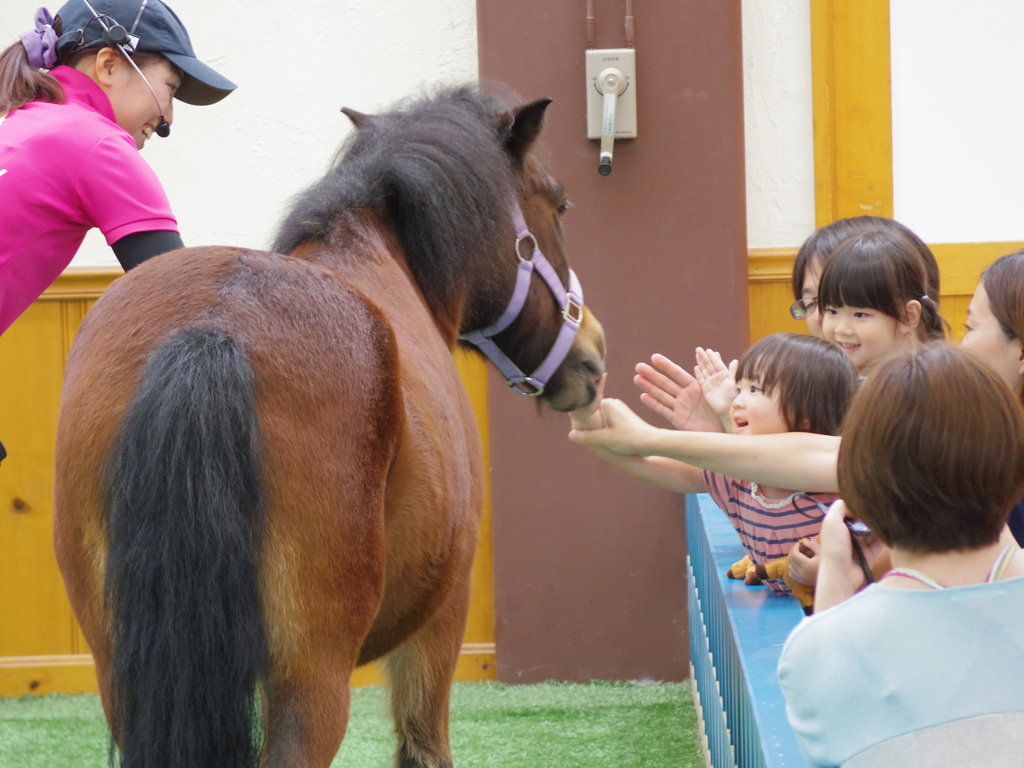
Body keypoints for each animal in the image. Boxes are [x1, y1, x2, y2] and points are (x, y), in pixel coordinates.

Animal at [51, 91, 602, 768]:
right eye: (560, 203)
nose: (592, 353)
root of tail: (213, 327)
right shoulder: (441, 621)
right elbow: (424, 747)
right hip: (313, 679)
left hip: (126, 673)